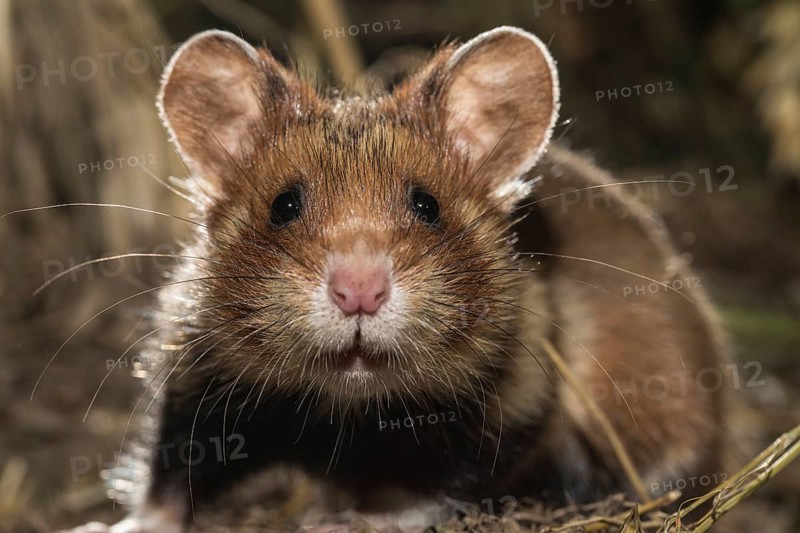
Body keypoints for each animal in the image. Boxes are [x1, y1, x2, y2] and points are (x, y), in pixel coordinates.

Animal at [69, 26, 727, 532]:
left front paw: (341, 521)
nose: (358, 292)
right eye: (283, 205)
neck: (348, 404)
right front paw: (104, 526)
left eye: (427, 205)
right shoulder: (198, 378)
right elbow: (169, 477)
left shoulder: (516, 406)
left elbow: (437, 491)